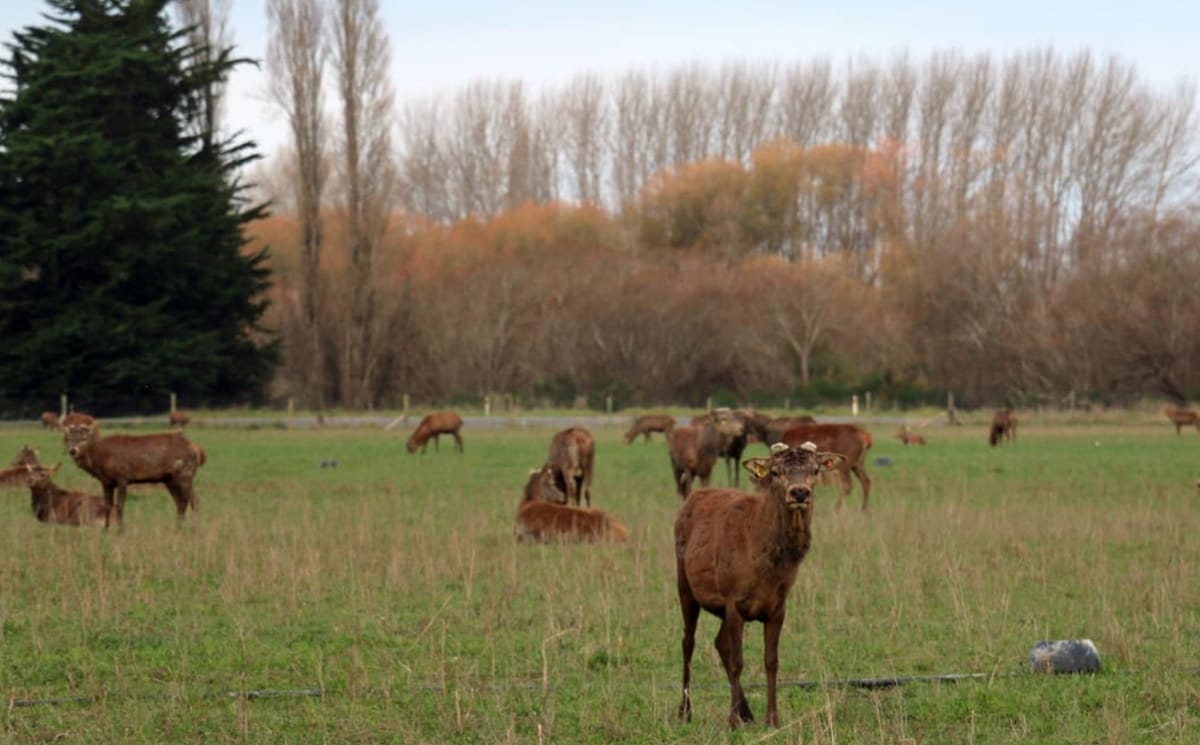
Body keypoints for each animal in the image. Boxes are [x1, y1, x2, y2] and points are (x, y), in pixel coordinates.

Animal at [676, 441, 844, 724]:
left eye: (815, 469)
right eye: (775, 472)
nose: (799, 492)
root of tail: (691, 498)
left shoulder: (778, 607)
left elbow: (771, 661)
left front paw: (772, 718)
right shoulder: (733, 599)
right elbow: (738, 662)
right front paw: (732, 721)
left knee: (719, 642)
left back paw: (747, 713)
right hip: (684, 584)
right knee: (688, 641)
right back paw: (686, 711)